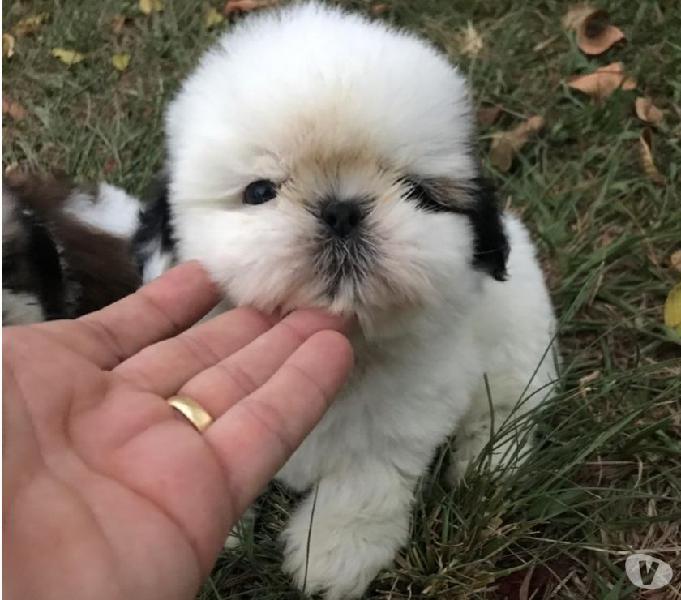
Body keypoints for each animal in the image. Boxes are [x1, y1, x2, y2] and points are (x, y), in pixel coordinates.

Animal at [134, 2, 556, 596]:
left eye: (416, 192)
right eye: (259, 192)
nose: (341, 210)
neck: (354, 344)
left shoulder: (409, 414)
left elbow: (367, 480)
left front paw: (335, 554)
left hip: (519, 332)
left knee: (508, 405)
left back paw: (489, 465)